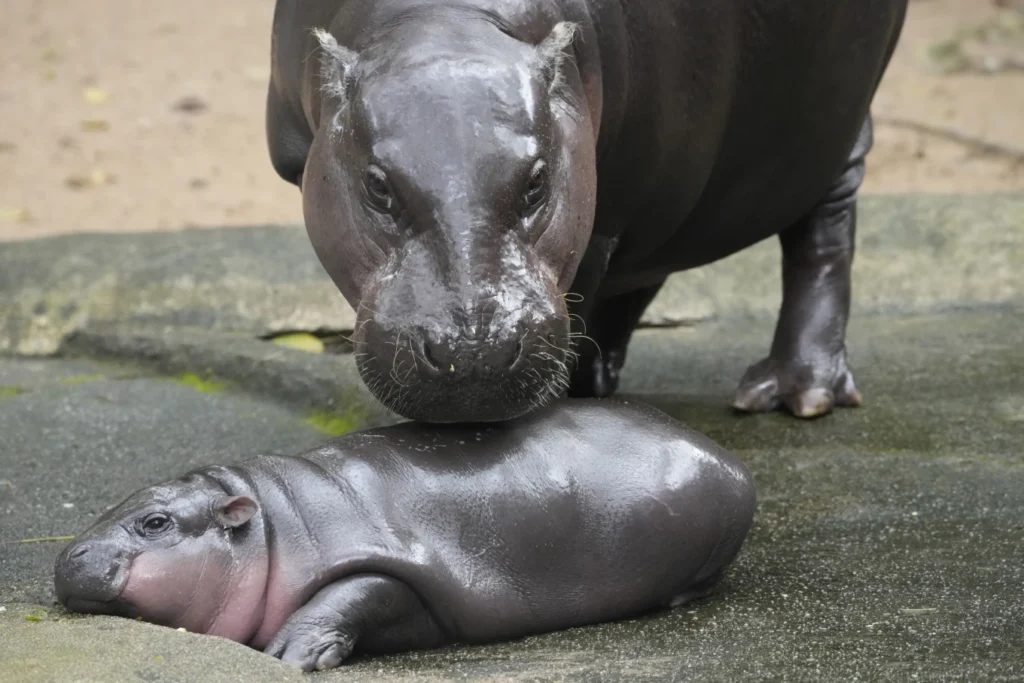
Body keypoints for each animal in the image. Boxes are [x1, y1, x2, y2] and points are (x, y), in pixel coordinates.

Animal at [58, 397, 761, 671]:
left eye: (156, 522)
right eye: (119, 501)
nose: (70, 556)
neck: (271, 525)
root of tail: (730, 458)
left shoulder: (397, 564)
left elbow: (355, 593)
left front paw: (289, 654)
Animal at [268, 0, 909, 423]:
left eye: (536, 182)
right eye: (377, 186)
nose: (473, 351)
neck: (444, 24)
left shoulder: (602, 213)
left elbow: (583, 297)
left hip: (832, 129)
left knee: (823, 236)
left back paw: (795, 393)